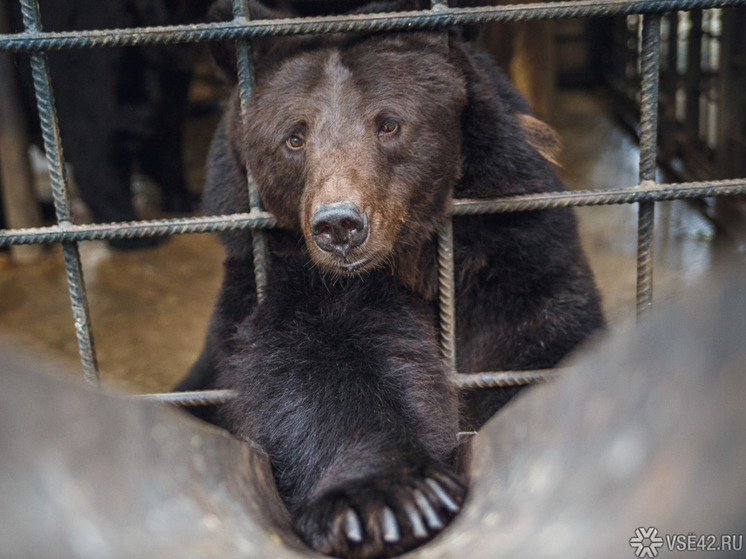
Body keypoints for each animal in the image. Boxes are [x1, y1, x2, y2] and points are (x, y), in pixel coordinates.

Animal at [177, 2, 600, 556]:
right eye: (294, 136)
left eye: (390, 124)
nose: (339, 224)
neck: (409, 261)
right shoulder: (288, 282)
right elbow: (321, 366)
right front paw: (387, 499)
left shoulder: (513, 251)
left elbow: (535, 339)